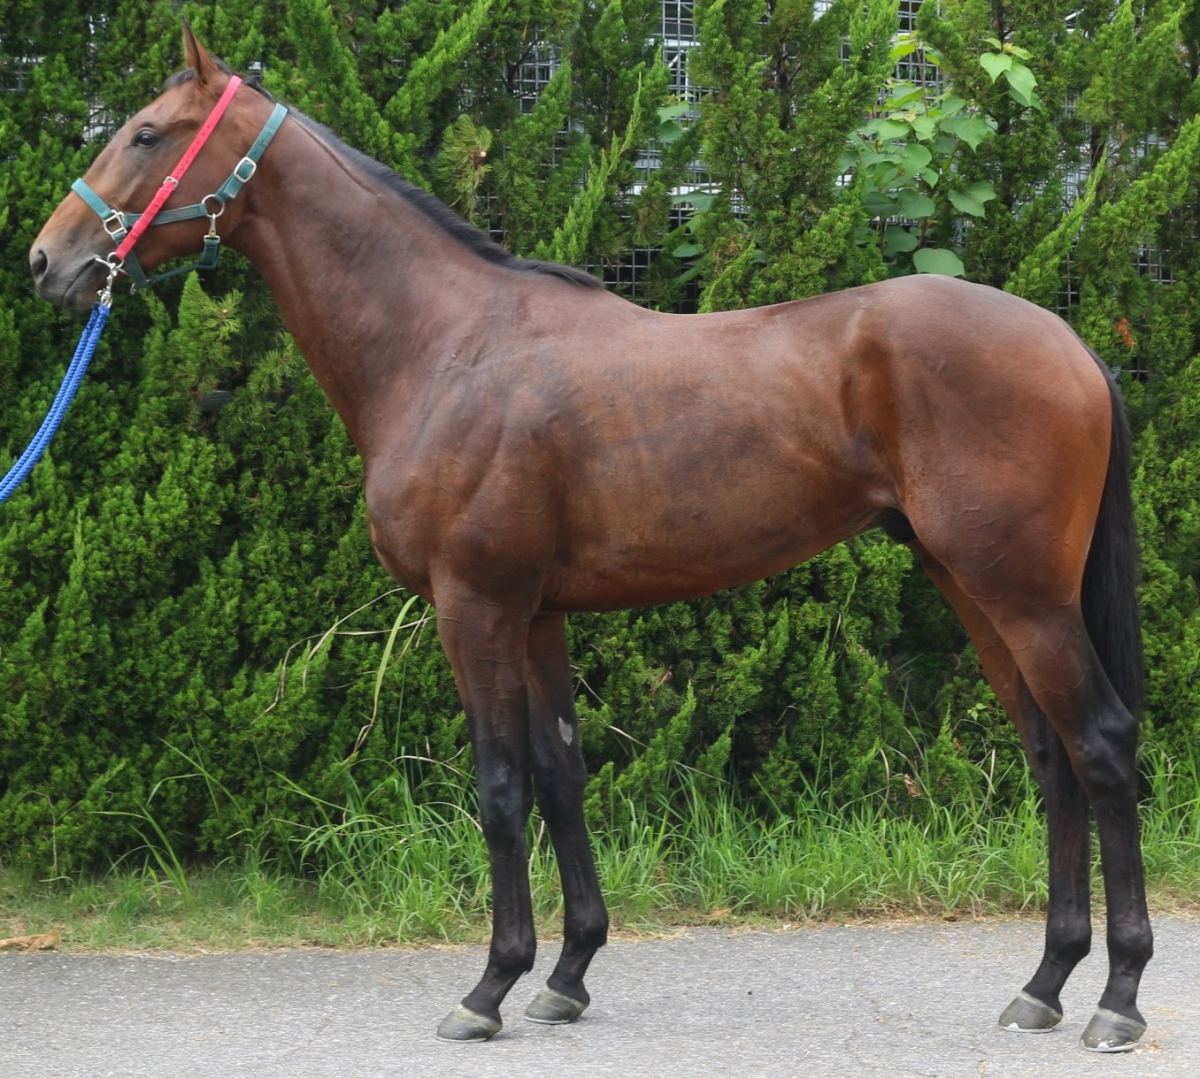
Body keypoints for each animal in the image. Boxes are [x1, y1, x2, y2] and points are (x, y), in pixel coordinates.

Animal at [30, 27, 1151, 1052]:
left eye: (146, 132)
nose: (48, 260)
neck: (445, 346)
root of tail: (1070, 342)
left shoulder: (473, 607)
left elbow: (499, 787)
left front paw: (488, 987)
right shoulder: (537, 615)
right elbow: (562, 776)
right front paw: (565, 975)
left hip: (1023, 596)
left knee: (1099, 747)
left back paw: (1118, 998)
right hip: (973, 587)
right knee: (1051, 758)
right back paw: (1043, 984)